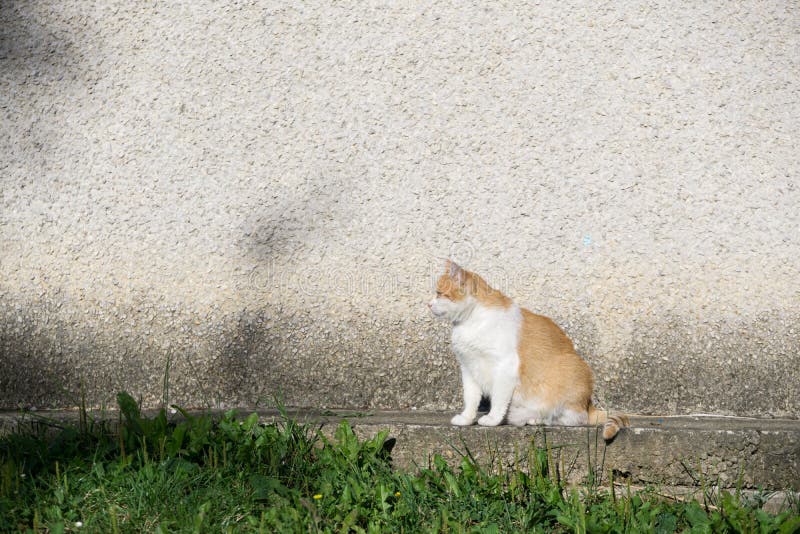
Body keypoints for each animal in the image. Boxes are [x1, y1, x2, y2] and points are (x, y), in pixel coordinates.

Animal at [428, 262, 628, 442]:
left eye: (438, 293)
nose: (428, 304)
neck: (471, 321)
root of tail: (588, 403)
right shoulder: (469, 368)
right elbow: (470, 398)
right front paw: (467, 419)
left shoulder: (505, 367)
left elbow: (498, 399)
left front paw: (492, 419)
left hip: (570, 372)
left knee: (574, 419)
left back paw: (541, 420)